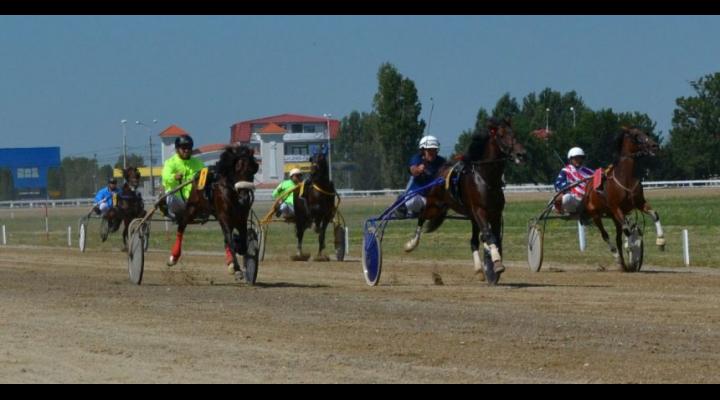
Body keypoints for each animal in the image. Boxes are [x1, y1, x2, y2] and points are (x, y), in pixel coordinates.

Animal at [167, 145, 262, 280]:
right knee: (181, 226)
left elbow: (242, 244)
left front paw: (238, 254)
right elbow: (230, 241)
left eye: (252, 171)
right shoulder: (224, 216)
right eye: (237, 170)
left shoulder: (241, 218)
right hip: (192, 208)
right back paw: (173, 257)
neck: (232, 193)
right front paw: (237, 269)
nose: (244, 198)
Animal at [404, 117, 528, 282]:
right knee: (421, 217)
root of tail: (439, 172)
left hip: (470, 216)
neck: (485, 178)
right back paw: (411, 244)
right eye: (501, 135)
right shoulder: (479, 210)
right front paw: (497, 263)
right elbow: (488, 235)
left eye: (514, 134)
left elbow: (493, 237)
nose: (522, 154)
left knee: (474, 241)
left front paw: (493, 265)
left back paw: (479, 269)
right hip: (434, 205)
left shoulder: (495, 213)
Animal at [580, 127, 664, 272]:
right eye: (636, 135)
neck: (626, 178)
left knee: (618, 238)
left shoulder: (639, 203)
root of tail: (588, 186)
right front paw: (631, 250)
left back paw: (624, 264)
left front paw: (660, 240)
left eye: (646, 133)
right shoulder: (616, 207)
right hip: (596, 215)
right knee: (606, 235)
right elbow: (627, 231)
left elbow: (654, 214)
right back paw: (618, 258)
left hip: (614, 217)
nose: (654, 145)